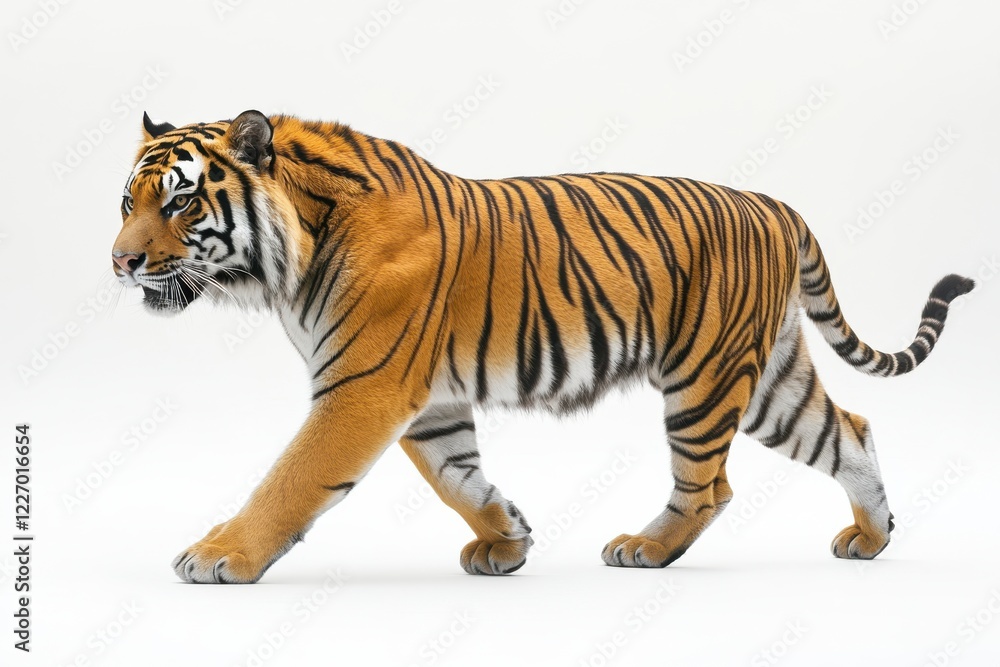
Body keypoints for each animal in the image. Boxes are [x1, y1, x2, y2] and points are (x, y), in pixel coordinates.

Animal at [112, 110, 973, 583]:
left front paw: (218, 555)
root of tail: (775, 203)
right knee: (849, 430)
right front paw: (508, 537)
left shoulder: (362, 387)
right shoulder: (427, 400)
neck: (292, 250)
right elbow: (457, 477)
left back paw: (645, 547)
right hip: (768, 382)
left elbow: (290, 480)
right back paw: (872, 536)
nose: (119, 262)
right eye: (128, 202)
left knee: (710, 486)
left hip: (704, 376)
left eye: (180, 203)